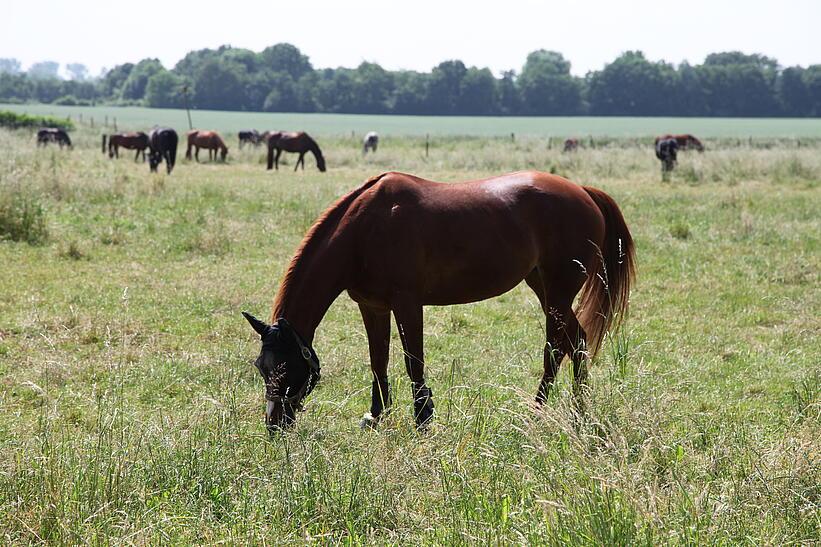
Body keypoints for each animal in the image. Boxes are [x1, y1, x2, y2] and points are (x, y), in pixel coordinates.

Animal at [240, 169, 636, 434]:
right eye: (261, 367)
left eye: (286, 367)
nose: (274, 425)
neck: (364, 228)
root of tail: (583, 192)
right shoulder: (372, 306)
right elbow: (378, 361)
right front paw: (376, 415)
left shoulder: (407, 303)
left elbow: (413, 360)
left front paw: (423, 418)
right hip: (543, 287)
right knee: (577, 341)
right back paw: (579, 410)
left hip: (558, 291)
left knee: (555, 349)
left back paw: (537, 412)